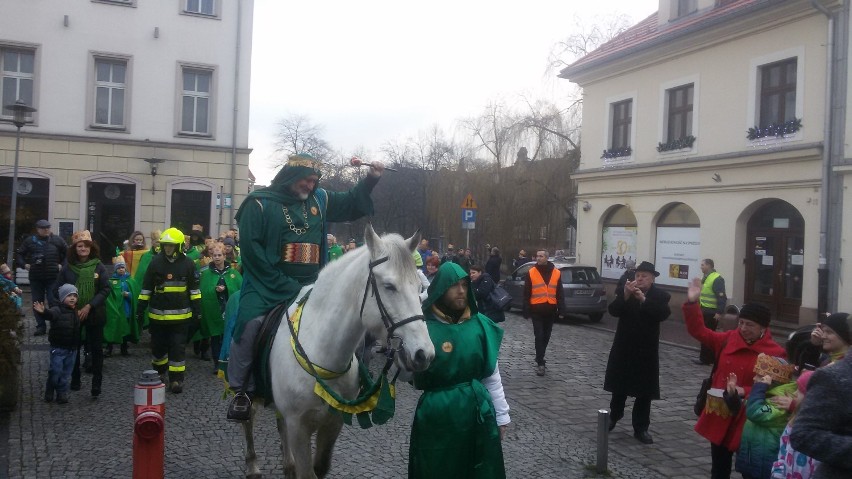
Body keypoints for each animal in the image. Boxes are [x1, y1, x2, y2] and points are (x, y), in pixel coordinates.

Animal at [241, 227, 436, 478]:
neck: (321, 352)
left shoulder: (333, 423)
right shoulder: (298, 427)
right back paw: (253, 465)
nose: (424, 354)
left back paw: (287, 464)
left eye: (420, 288)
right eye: (389, 286)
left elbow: (320, 468)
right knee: (249, 419)